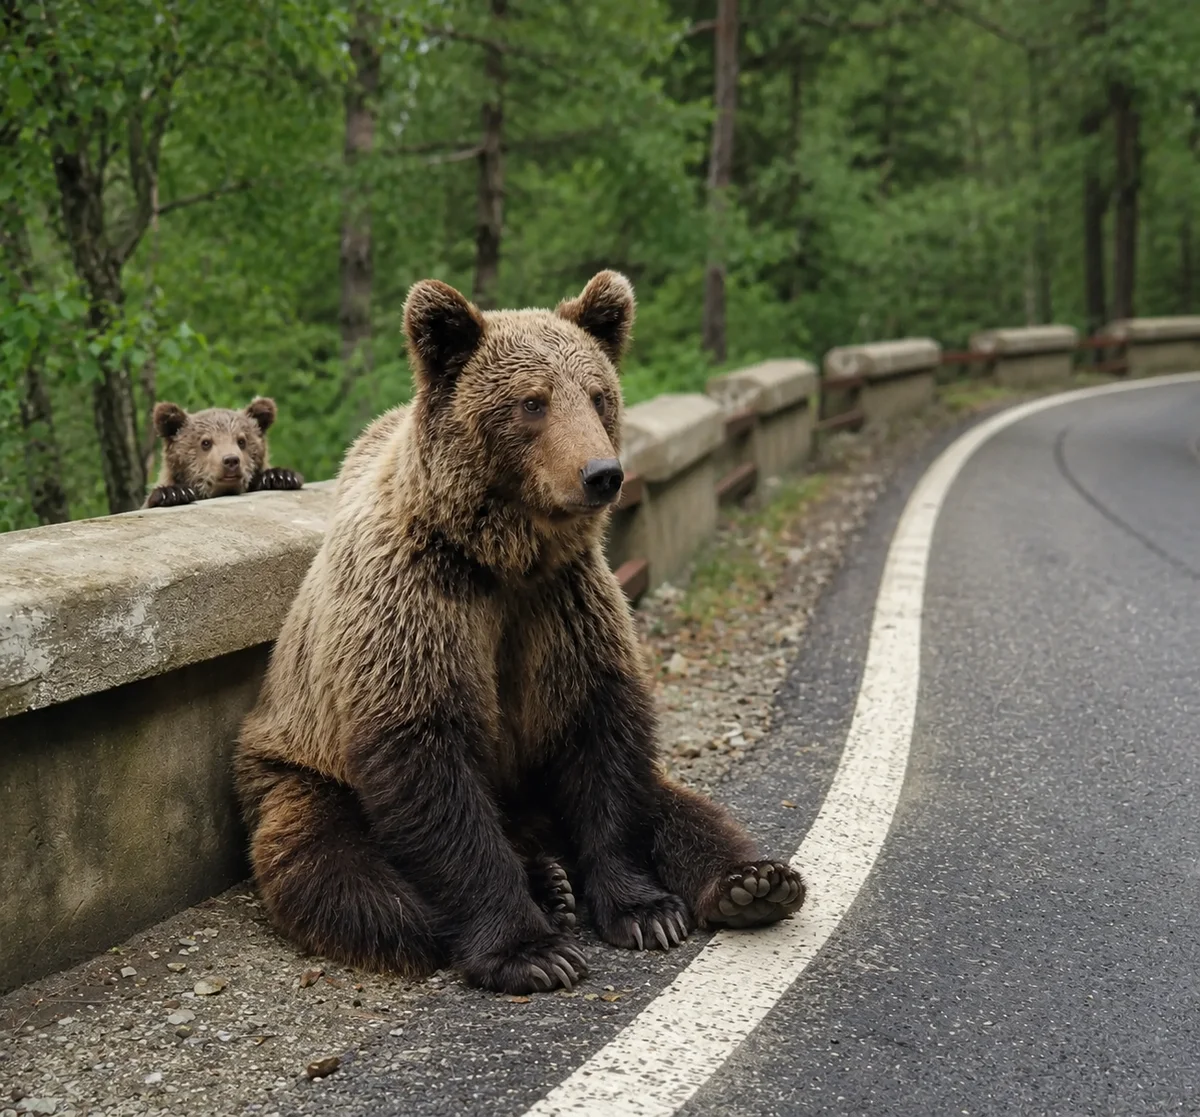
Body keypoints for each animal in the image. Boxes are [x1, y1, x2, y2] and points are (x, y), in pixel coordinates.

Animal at [232, 271, 806, 995]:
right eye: (532, 401)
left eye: (597, 394)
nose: (602, 473)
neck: (502, 556)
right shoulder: (420, 608)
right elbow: (432, 766)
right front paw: (532, 950)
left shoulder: (562, 606)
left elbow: (604, 743)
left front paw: (645, 910)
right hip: (300, 771)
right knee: (342, 873)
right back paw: (533, 887)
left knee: (676, 803)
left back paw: (750, 882)